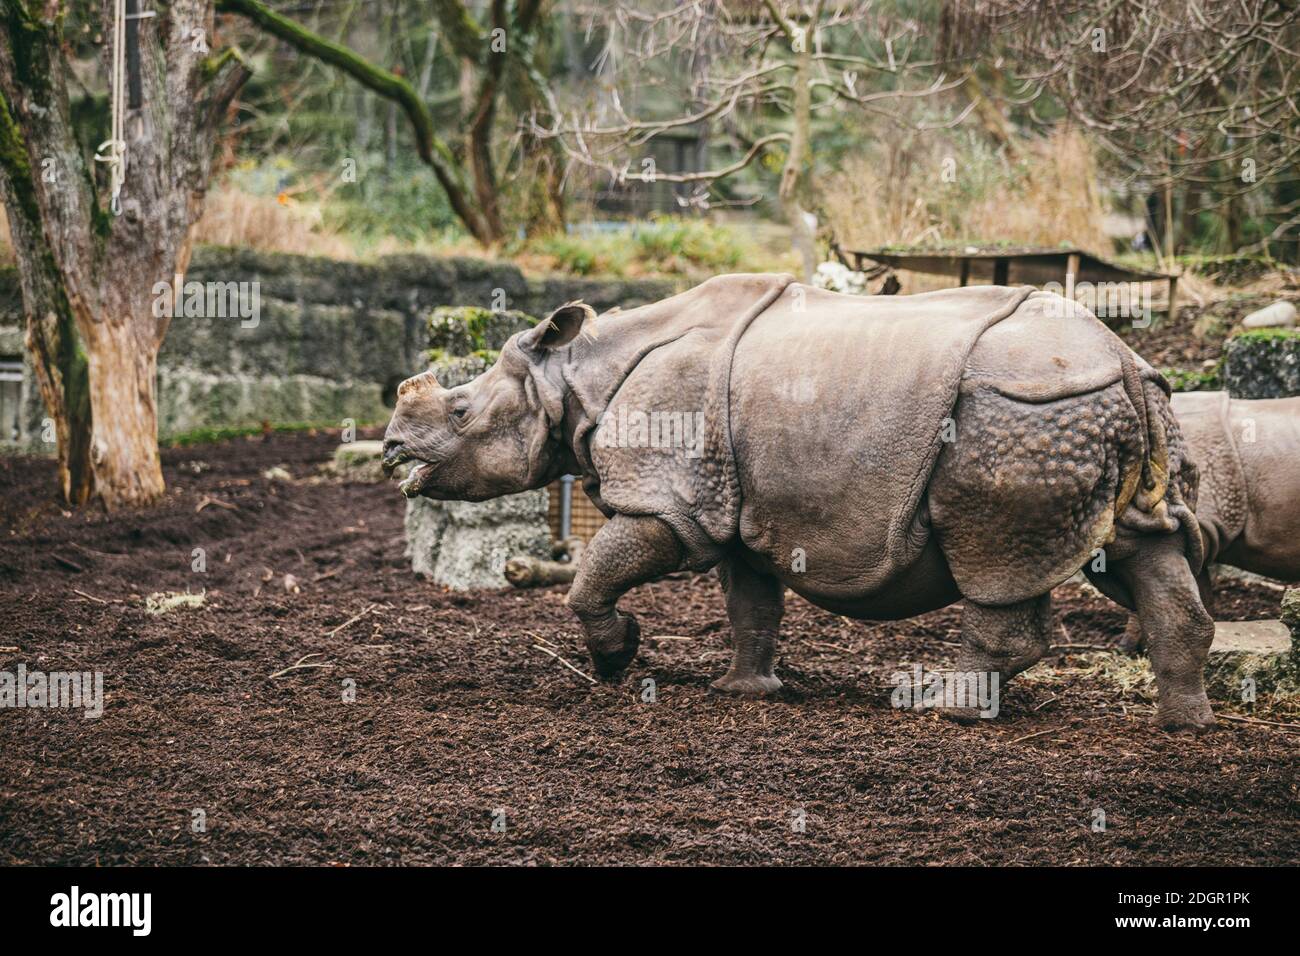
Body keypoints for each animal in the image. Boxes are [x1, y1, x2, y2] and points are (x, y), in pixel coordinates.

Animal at [383, 275, 1216, 730]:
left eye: (458, 410)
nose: (390, 449)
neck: (574, 376)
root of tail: (1127, 359)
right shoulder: (735, 506)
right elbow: (752, 599)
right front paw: (745, 691)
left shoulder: (670, 503)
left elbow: (595, 574)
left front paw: (616, 660)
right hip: (1090, 410)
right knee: (1140, 550)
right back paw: (1183, 726)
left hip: (1019, 413)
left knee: (995, 561)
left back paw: (937, 706)